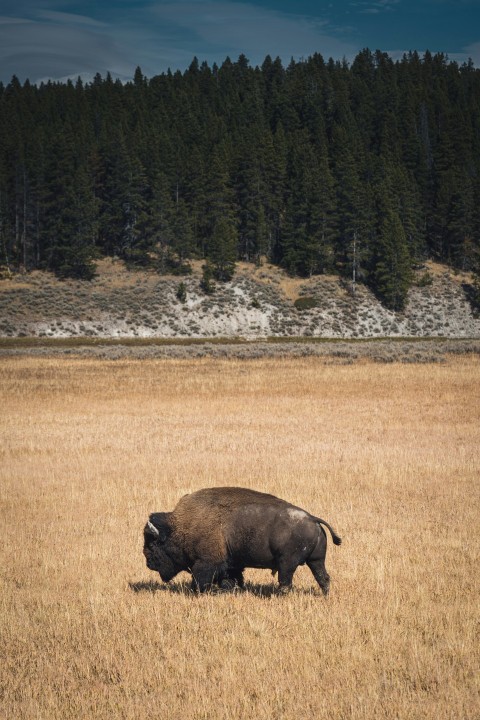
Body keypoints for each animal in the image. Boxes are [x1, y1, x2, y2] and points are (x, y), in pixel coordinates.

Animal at [142, 490, 342, 596]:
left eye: (152, 545)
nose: (148, 563)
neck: (181, 526)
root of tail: (312, 519)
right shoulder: (231, 565)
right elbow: (231, 579)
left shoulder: (207, 563)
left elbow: (201, 578)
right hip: (316, 561)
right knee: (323, 577)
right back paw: (325, 596)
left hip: (287, 563)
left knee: (286, 582)